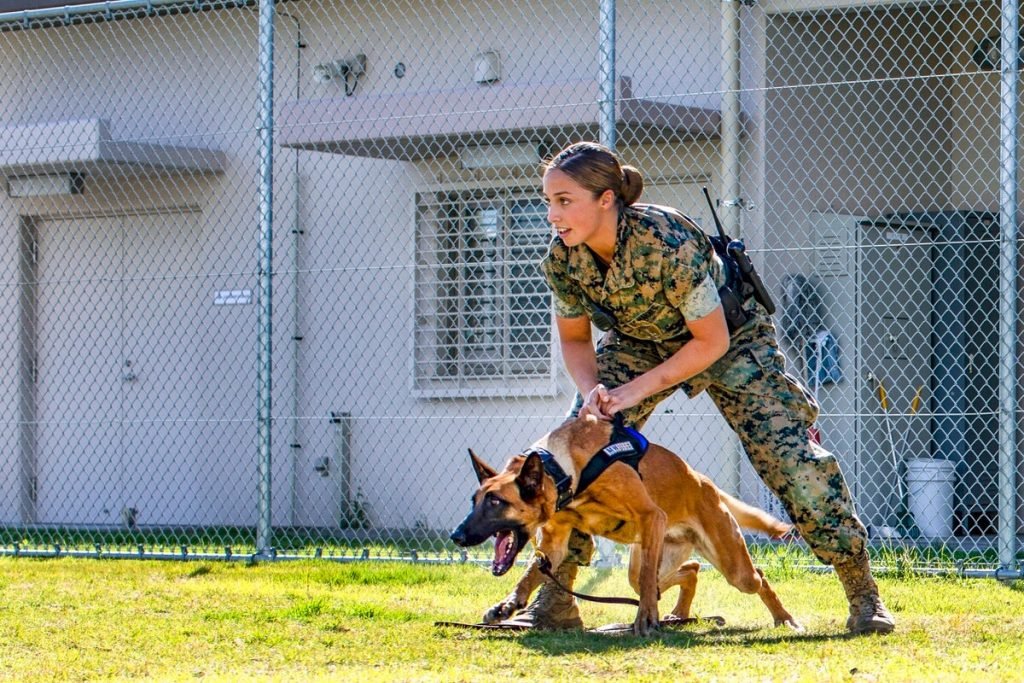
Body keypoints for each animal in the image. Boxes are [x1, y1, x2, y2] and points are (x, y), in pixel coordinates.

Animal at [448, 413, 798, 638]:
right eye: (474, 500)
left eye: (496, 502)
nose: (456, 536)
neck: (563, 468)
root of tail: (704, 482)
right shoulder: (554, 543)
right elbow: (531, 573)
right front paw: (508, 604)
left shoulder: (652, 515)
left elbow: (646, 589)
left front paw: (645, 619)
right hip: (652, 557)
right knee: (690, 569)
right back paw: (679, 614)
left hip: (732, 566)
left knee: (756, 577)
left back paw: (785, 619)